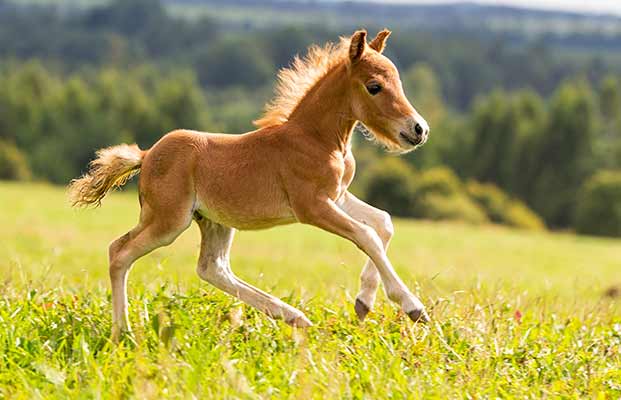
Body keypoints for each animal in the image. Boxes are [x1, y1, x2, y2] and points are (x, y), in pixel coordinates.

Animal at [66, 28, 426, 340]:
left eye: (399, 83)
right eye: (374, 86)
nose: (419, 129)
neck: (316, 138)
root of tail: (147, 154)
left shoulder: (336, 195)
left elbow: (384, 223)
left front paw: (364, 302)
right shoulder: (311, 205)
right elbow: (366, 235)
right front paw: (412, 307)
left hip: (213, 221)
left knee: (211, 268)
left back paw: (295, 317)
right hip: (169, 220)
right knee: (120, 252)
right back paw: (122, 332)